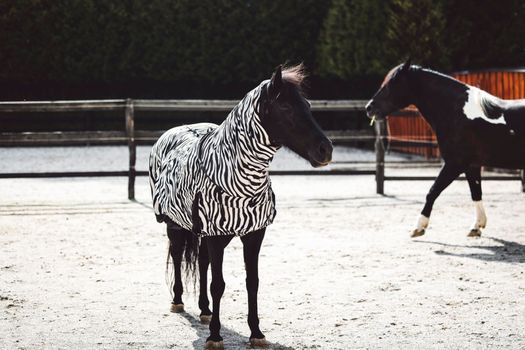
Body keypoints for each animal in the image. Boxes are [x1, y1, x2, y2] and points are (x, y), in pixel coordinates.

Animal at [149, 65, 334, 348]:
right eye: (286, 107)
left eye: (308, 105)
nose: (326, 150)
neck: (237, 180)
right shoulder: (216, 236)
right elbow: (218, 285)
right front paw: (215, 336)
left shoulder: (253, 234)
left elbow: (252, 282)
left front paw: (256, 332)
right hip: (175, 225)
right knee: (179, 255)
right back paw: (178, 301)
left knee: (202, 262)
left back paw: (204, 309)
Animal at [364, 60, 524, 238]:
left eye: (392, 83)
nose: (369, 108)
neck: (456, 113)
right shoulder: (472, 166)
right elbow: (476, 192)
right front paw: (476, 226)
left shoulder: (454, 164)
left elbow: (432, 191)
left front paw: (418, 227)